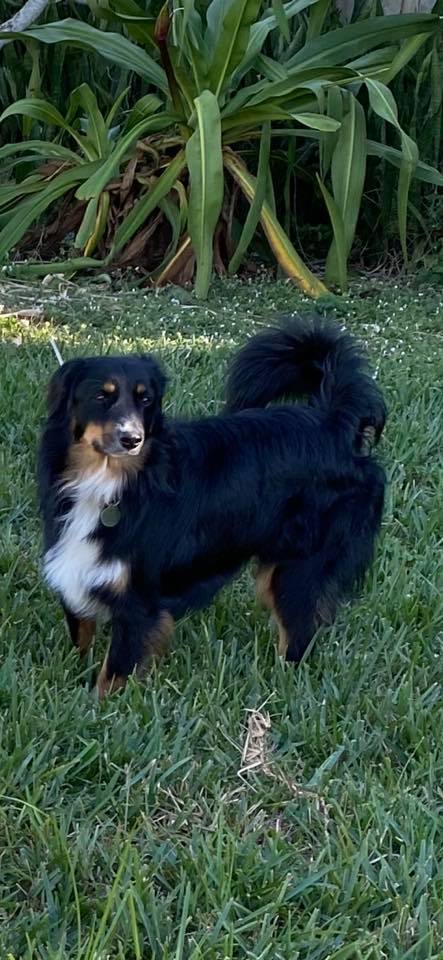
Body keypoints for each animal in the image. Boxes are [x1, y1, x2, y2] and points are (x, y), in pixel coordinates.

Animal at [37, 316, 386, 696]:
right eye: (102, 396)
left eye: (146, 400)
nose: (132, 439)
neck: (115, 482)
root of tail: (334, 424)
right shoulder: (77, 569)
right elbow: (81, 639)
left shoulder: (139, 599)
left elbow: (113, 672)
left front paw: (99, 704)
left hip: (297, 568)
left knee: (298, 637)